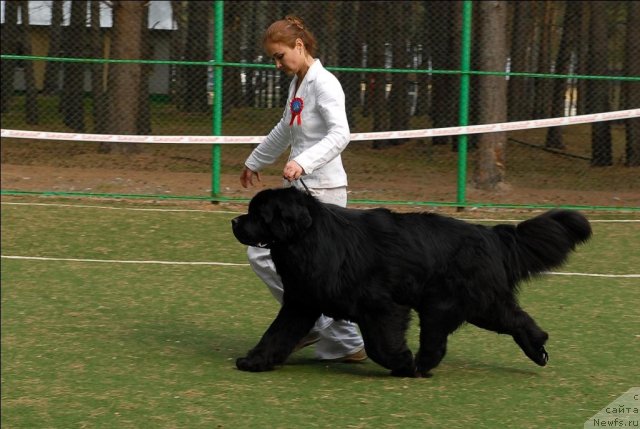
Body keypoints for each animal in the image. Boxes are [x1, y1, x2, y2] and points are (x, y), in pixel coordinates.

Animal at [230, 186, 592, 376]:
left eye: (259, 214)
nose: (234, 221)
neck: (309, 238)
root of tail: (489, 233)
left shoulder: (381, 306)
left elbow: (380, 344)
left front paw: (401, 362)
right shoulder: (301, 303)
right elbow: (276, 334)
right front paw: (255, 361)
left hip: (451, 304)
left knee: (445, 338)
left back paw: (419, 365)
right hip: (473, 305)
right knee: (514, 318)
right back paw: (538, 348)